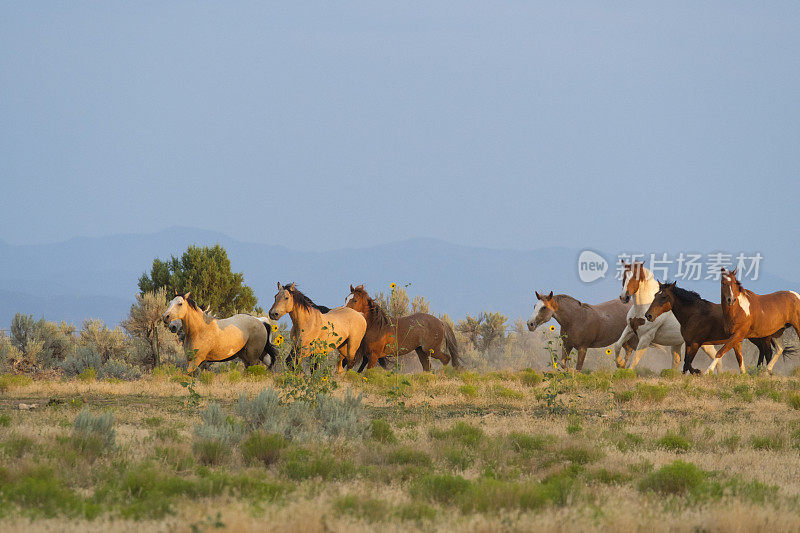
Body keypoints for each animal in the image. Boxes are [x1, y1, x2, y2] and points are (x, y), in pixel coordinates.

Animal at [640, 280, 784, 372]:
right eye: (655, 295)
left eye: (664, 296)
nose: (648, 315)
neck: (695, 314)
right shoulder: (689, 343)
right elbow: (686, 363)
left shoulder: (696, 343)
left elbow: (688, 362)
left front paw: (698, 372)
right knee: (761, 352)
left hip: (761, 338)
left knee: (768, 353)